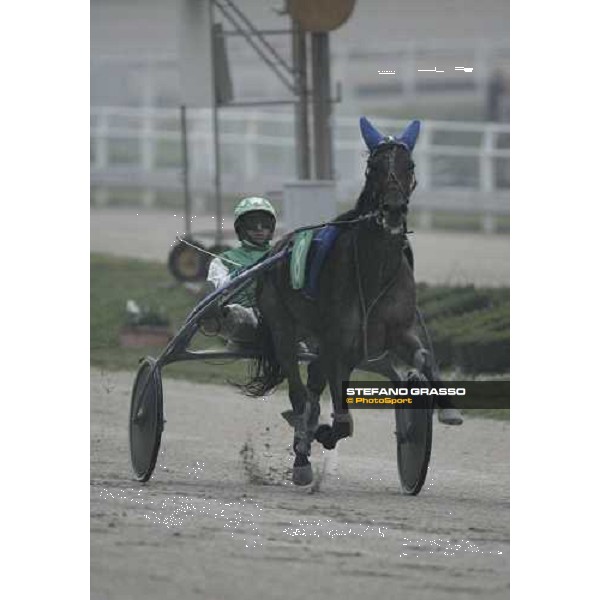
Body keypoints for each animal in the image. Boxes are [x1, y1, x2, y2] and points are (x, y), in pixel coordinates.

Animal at [246, 118, 434, 488]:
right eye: (373, 167)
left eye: (410, 166)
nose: (393, 210)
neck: (374, 270)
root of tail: (278, 248)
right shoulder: (337, 340)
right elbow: (341, 421)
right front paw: (319, 433)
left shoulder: (394, 332)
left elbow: (420, 356)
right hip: (283, 326)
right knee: (299, 391)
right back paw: (303, 457)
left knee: (313, 385)